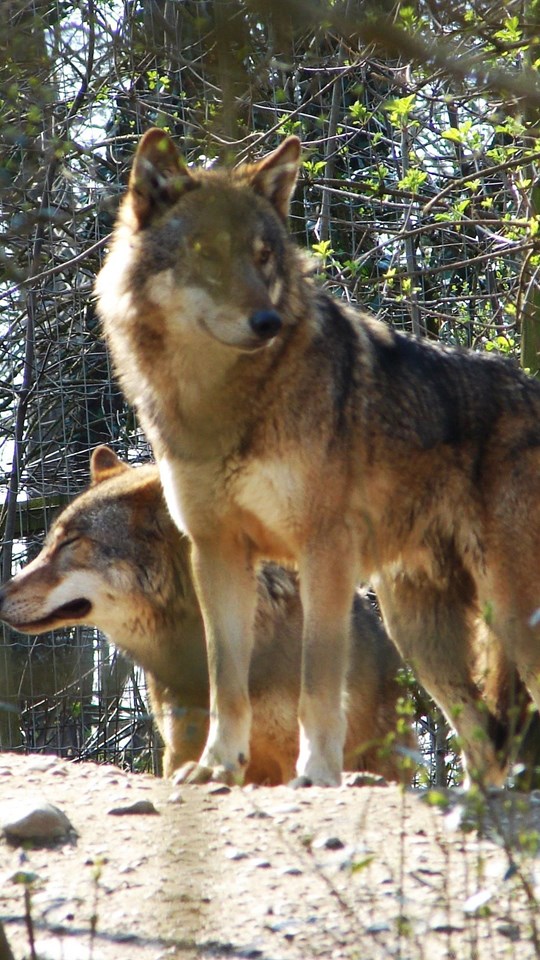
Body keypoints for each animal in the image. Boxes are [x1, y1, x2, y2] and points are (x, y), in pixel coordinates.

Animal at [95, 128, 540, 787]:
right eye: (204, 250)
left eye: (263, 256)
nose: (267, 321)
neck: (228, 402)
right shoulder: (217, 549)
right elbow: (226, 684)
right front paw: (217, 767)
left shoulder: (322, 549)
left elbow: (317, 687)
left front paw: (317, 773)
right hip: (419, 631)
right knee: (483, 737)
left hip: (509, 609)